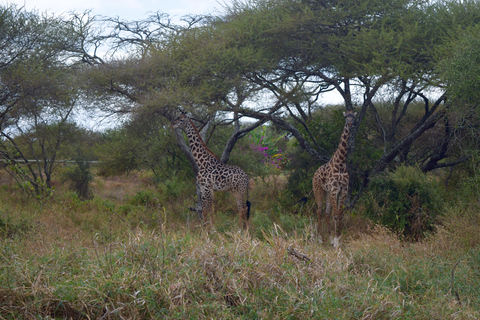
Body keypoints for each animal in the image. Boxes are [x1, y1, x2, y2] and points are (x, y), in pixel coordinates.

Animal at [312, 109, 356, 242]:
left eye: (353, 117)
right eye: (346, 117)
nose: (350, 124)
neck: (340, 163)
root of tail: (315, 173)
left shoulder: (343, 190)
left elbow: (340, 214)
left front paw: (337, 238)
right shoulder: (334, 189)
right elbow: (335, 215)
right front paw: (336, 240)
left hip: (327, 192)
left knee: (326, 212)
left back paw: (329, 236)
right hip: (318, 189)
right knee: (319, 211)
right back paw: (320, 238)